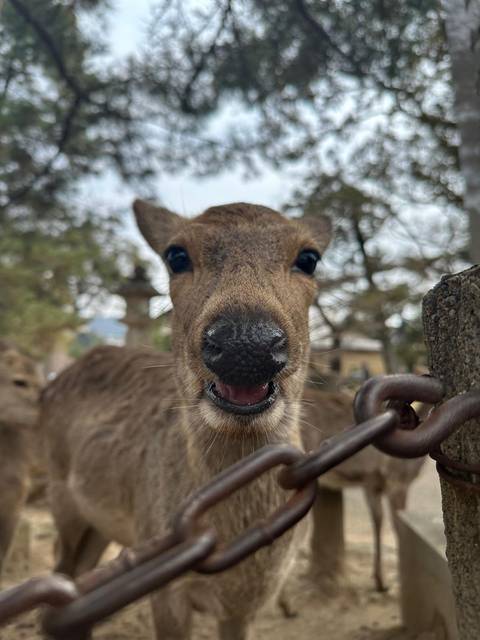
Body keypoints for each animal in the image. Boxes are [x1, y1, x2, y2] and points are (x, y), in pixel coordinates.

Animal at [39, 200, 332, 639]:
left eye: (309, 258)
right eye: (176, 255)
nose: (246, 344)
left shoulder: (251, 602)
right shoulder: (166, 584)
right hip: (61, 497)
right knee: (60, 577)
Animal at [299, 384, 426, 593]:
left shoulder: (371, 483)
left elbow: (378, 520)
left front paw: (380, 581)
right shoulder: (396, 481)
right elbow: (398, 526)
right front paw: (396, 581)